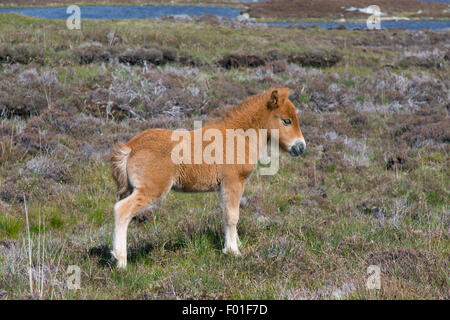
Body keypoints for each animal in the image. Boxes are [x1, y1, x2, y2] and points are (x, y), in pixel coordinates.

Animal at [110, 87, 304, 268]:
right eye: (286, 120)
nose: (300, 147)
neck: (238, 137)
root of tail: (131, 146)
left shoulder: (224, 186)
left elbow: (226, 213)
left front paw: (235, 244)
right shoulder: (233, 182)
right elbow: (232, 215)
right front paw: (233, 251)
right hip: (152, 189)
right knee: (122, 210)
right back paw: (121, 262)